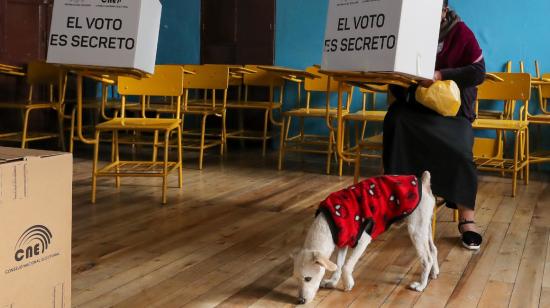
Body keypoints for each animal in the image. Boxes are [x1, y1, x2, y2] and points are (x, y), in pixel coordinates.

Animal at [294, 172, 440, 304]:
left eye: (308, 278)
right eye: (296, 279)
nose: (301, 301)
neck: (327, 224)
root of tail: (424, 182)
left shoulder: (363, 240)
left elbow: (346, 265)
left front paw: (348, 283)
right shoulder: (343, 243)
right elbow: (339, 265)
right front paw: (333, 282)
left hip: (416, 231)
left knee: (426, 259)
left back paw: (421, 285)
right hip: (424, 227)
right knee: (433, 250)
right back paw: (434, 272)